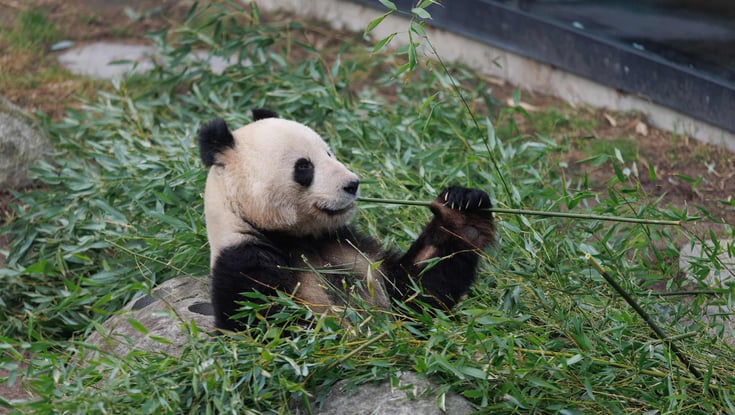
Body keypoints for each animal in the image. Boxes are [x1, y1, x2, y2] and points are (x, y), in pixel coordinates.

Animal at [199, 109, 495, 331]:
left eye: (329, 153)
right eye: (304, 166)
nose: (352, 184)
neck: (291, 236)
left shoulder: (348, 246)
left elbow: (414, 295)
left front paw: (462, 211)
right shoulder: (245, 262)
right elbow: (268, 322)